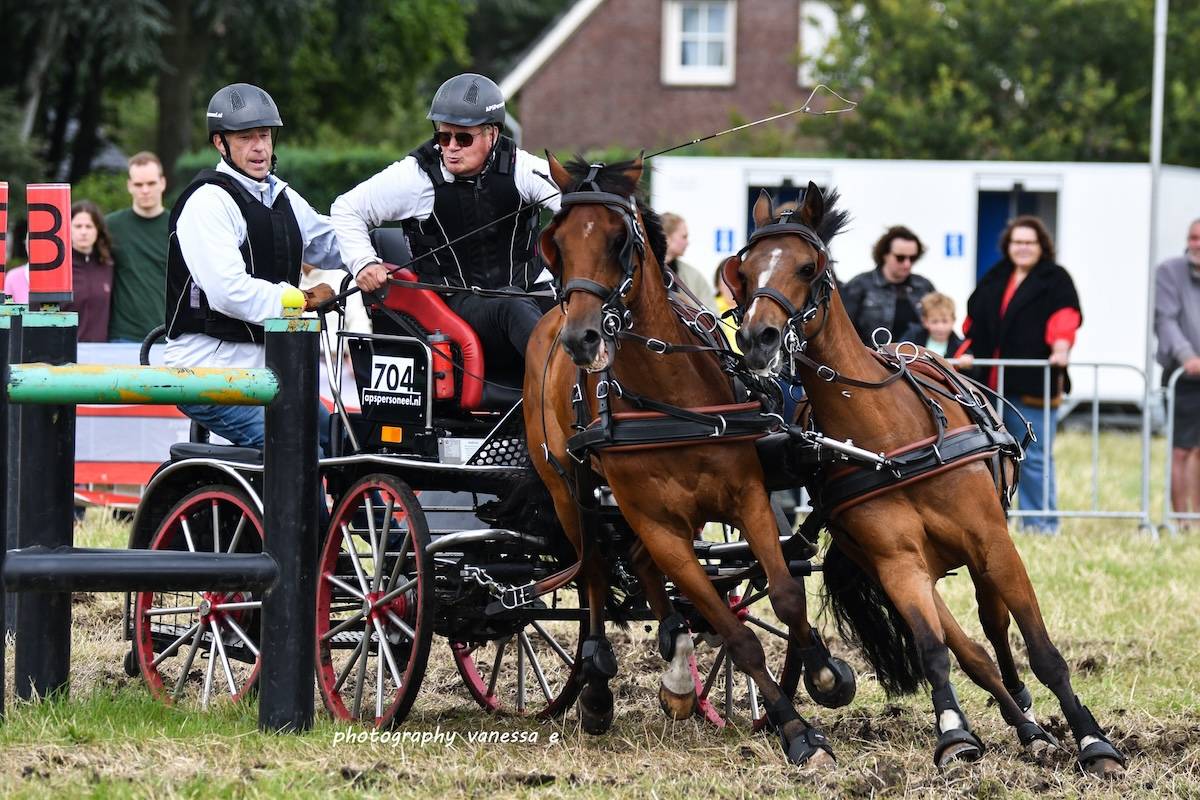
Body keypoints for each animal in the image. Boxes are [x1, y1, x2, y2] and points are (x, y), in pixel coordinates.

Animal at [524, 155, 845, 768]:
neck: (669, 396)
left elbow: (786, 595)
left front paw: (822, 671)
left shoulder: (748, 498)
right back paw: (598, 687)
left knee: (639, 569)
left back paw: (674, 669)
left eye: (621, 240)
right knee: (595, 574)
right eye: (555, 244)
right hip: (565, 491)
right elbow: (735, 633)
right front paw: (797, 733)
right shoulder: (657, 523)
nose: (582, 338)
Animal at [727, 183, 1127, 776]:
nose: (758, 337)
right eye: (745, 270)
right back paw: (1024, 727)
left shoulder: (992, 540)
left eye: (806, 266)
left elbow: (1042, 649)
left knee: (994, 627)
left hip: (984, 553)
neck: (893, 440)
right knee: (972, 652)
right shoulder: (897, 561)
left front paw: (1092, 740)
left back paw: (1030, 718)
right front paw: (954, 734)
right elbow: (935, 650)